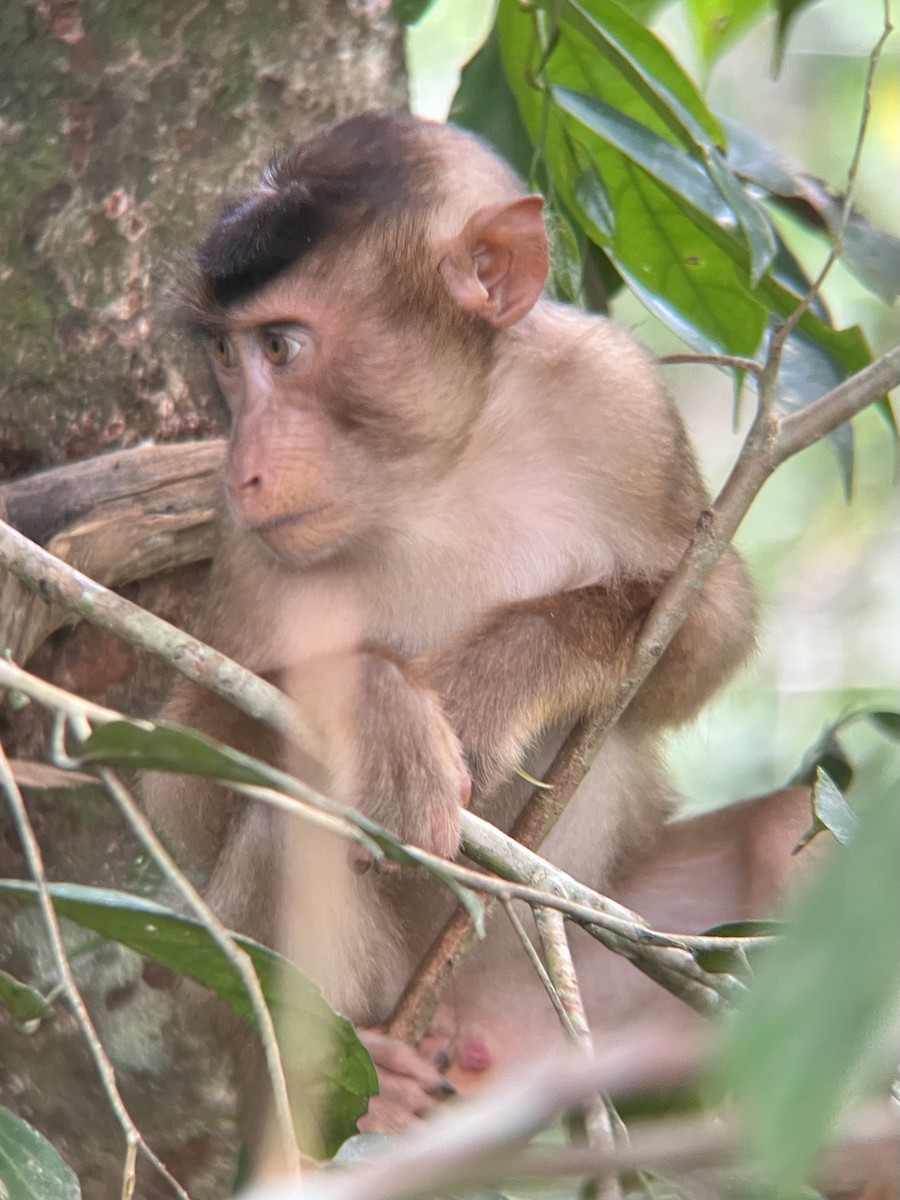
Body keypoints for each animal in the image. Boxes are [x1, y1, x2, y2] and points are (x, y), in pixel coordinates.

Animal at [143, 110, 757, 1149]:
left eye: (283, 346)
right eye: (227, 356)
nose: (241, 466)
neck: (438, 466)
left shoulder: (621, 399)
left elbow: (709, 620)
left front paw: (502, 675)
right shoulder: (247, 545)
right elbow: (182, 771)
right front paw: (382, 715)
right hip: (233, 1006)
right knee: (286, 819)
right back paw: (356, 1084)